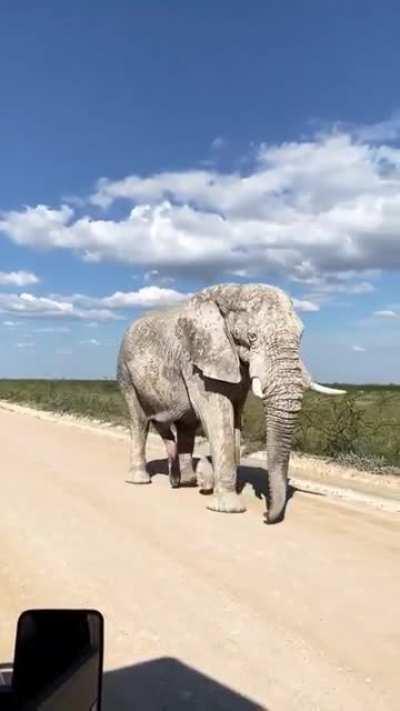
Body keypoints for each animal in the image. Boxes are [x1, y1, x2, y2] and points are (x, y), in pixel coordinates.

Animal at [117, 283, 345, 523]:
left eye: (301, 336)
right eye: (252, 337)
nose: (266, 515)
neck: (232, 292)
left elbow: (235, 417)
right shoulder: (196, 361)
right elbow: (218, 416)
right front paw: (228, 508)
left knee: (185, 426)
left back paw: (187, 482)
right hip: (125, 372)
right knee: (139, 421)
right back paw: (141, 480)